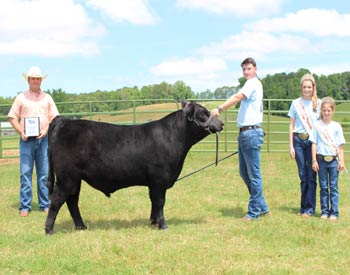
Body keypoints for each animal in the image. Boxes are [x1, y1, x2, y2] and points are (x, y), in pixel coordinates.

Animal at [45, 101, 223, 235]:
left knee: (72, 201)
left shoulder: (154, 182)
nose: (221, 123)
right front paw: (162, 225)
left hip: (75, 179)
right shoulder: (159, 179)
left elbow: (153, 201)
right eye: (203, 113)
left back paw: (81, 227)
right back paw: (49, 230)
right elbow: (160, 201)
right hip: (66, 177)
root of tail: (65, 120)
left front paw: (153, 222)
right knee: (57, 200)